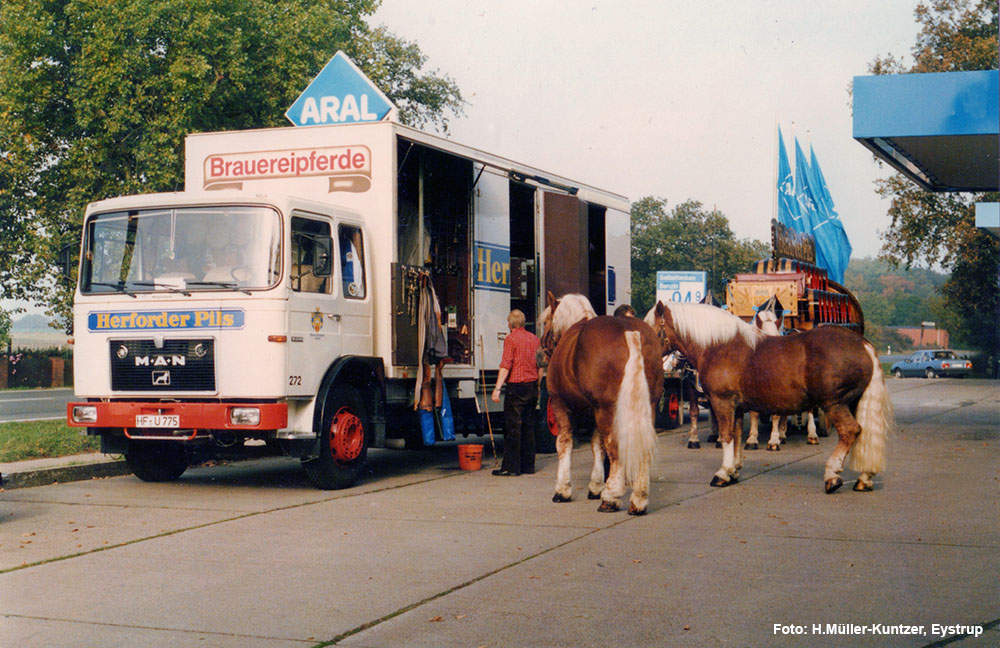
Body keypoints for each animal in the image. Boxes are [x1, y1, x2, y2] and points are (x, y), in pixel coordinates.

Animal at [540, 292, 664, 512]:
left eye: (546, 321)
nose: (542, 348)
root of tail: (629, 331)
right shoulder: (594, 411)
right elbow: (597, 446)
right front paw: (596, 486)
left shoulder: (560, 404)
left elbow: (564, 443)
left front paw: (562, 490)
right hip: (647, 406)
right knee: (641, 449)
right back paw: (639, 499)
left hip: (606, 409)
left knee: (614, 447)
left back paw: (611, 497)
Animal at [644, 302, 896, 494]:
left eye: (651, 328)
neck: (718, 345)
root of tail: (863, 345)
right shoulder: (737, 407)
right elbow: (737, 436)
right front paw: (734, 470)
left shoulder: (722, 403)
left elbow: (726, 436)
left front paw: (722, 474)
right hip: (852, 403)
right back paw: (864, 478)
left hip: (835, 404)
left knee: (849, 431)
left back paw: (832, 475)